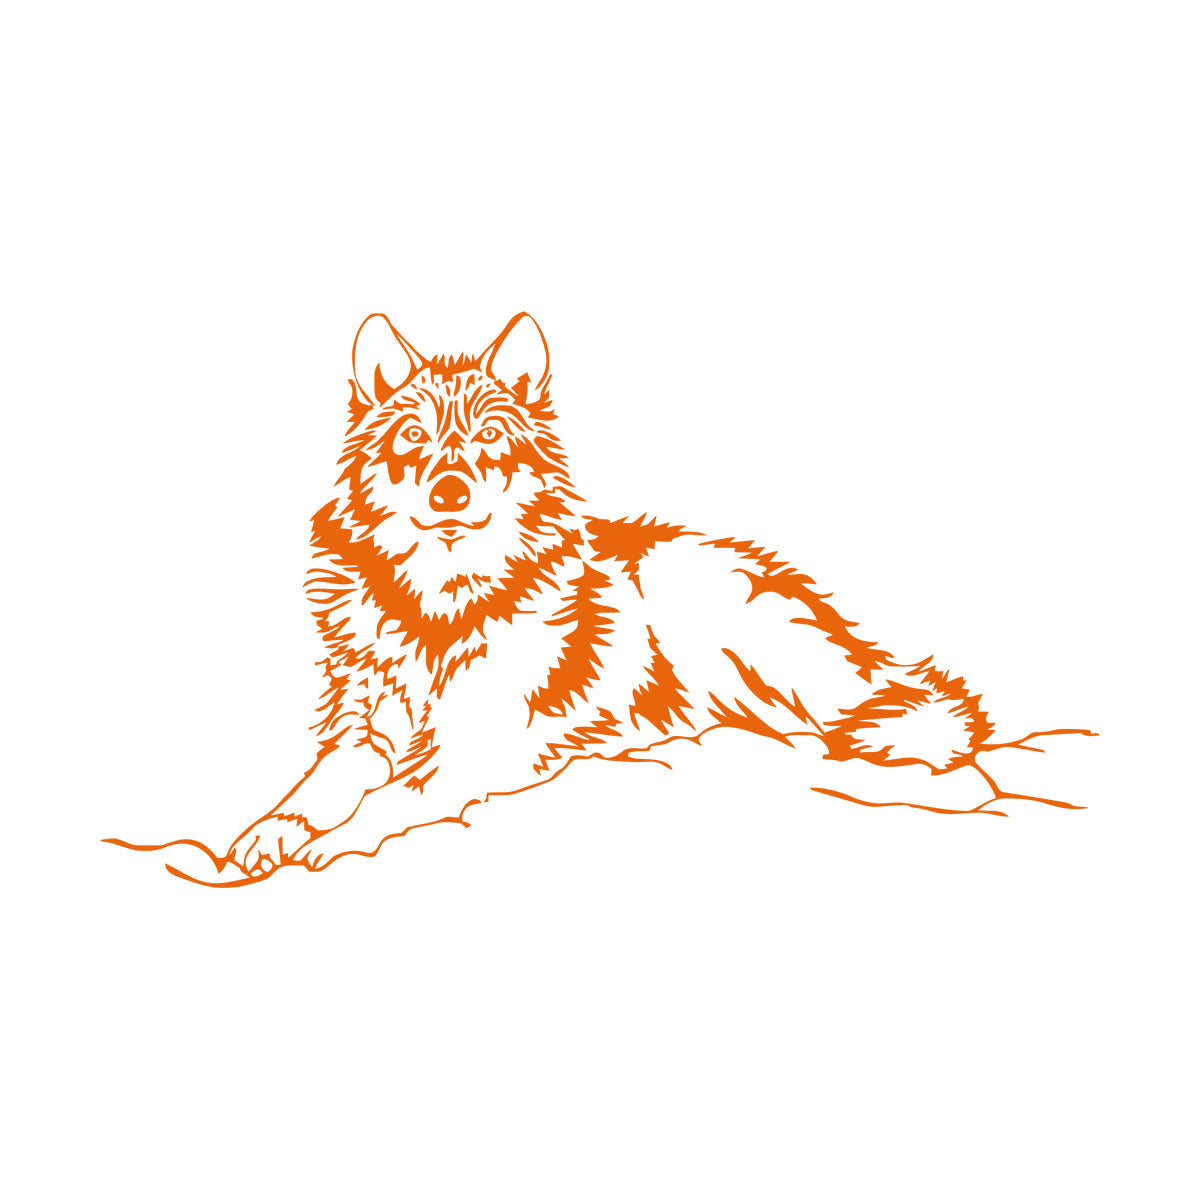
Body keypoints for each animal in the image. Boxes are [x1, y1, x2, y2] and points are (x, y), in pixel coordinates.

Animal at [133, 312, 1088, 882]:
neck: (438, 610)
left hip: (737, 633)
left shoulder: (473, 754)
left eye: (488, 439)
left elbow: (384, 807)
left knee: (866, 721)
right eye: (413, 439)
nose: (448, 489)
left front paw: (327, 847)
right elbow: (313, 788)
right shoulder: (364, 730)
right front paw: (268, 833)